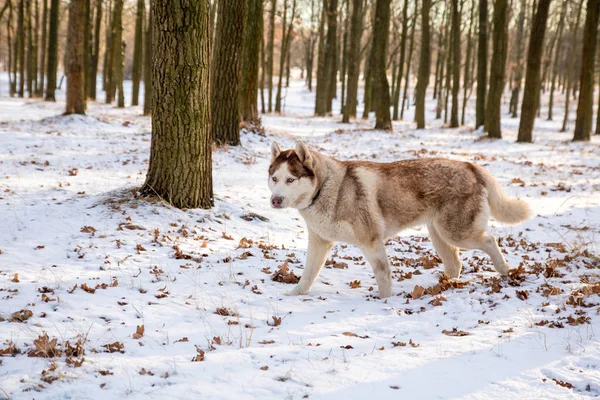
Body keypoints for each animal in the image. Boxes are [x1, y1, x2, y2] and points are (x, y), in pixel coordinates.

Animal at [270, 141, 532, 296]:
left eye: (290, 179)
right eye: (274, 178)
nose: (275, 201)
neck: (326, 188)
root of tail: (470, 165)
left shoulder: (371, 242)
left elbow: (383, 276)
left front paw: (385, 301)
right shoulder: (319, 242)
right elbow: (307, 274)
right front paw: (295, 295)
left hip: (457, 233)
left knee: (490, 241)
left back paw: (504, 270)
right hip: (439, 235)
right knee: (455, 263)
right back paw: (445, 286)